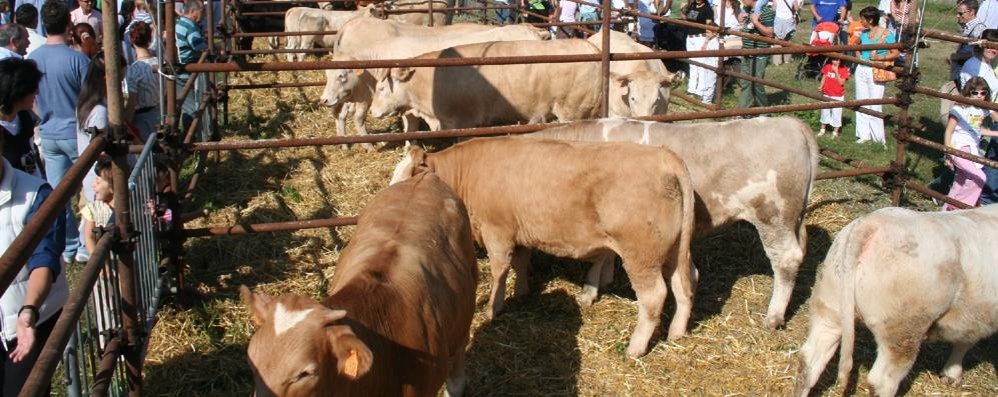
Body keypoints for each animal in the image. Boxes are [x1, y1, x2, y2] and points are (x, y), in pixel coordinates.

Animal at [386, 136, 700, 356]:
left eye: (404, 178)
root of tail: (665, 156)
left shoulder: (497, 231)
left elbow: (500, 270)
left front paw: (493, 309)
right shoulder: (519, 233)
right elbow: (520, 263)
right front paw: (522, 292)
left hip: (642, 255)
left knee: (654, 296)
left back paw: (635, 348)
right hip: (673, 251)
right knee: (685, 283)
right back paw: (676, 333)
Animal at [532, 115, 820, 328]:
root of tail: (790, 123)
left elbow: (598, 256)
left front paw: (588, 292)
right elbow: (604, 254)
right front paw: (601, 282)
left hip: (773, 215)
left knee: (785, 259)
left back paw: (773, 317)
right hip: (794, 218)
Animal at [796, 206, 998, 396]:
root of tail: (873, 222)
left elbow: (965, 340)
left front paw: (951, 373)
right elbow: (966, 341)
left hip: (829, 306)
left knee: (809, 360)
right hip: (903, 331)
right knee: (882, 381)